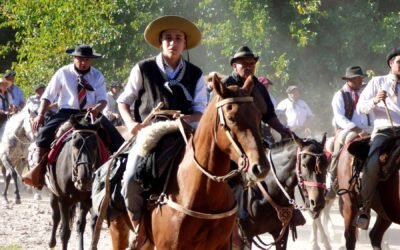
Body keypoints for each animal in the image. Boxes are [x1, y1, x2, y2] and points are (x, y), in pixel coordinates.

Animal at [46, 115, 104, 250]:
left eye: (95, 145)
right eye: (75, 144)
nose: (85, 177)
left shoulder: (87, 201)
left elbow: (82, 225)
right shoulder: (64, 200)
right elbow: (65, 232)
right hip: (53, 193)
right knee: (55, 216)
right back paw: (51, 242)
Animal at [106, 74, 268, 250]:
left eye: (258, 116)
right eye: (231, 118)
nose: (260, 167)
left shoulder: (222, 244)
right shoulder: (167, 246)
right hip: (118, 228)